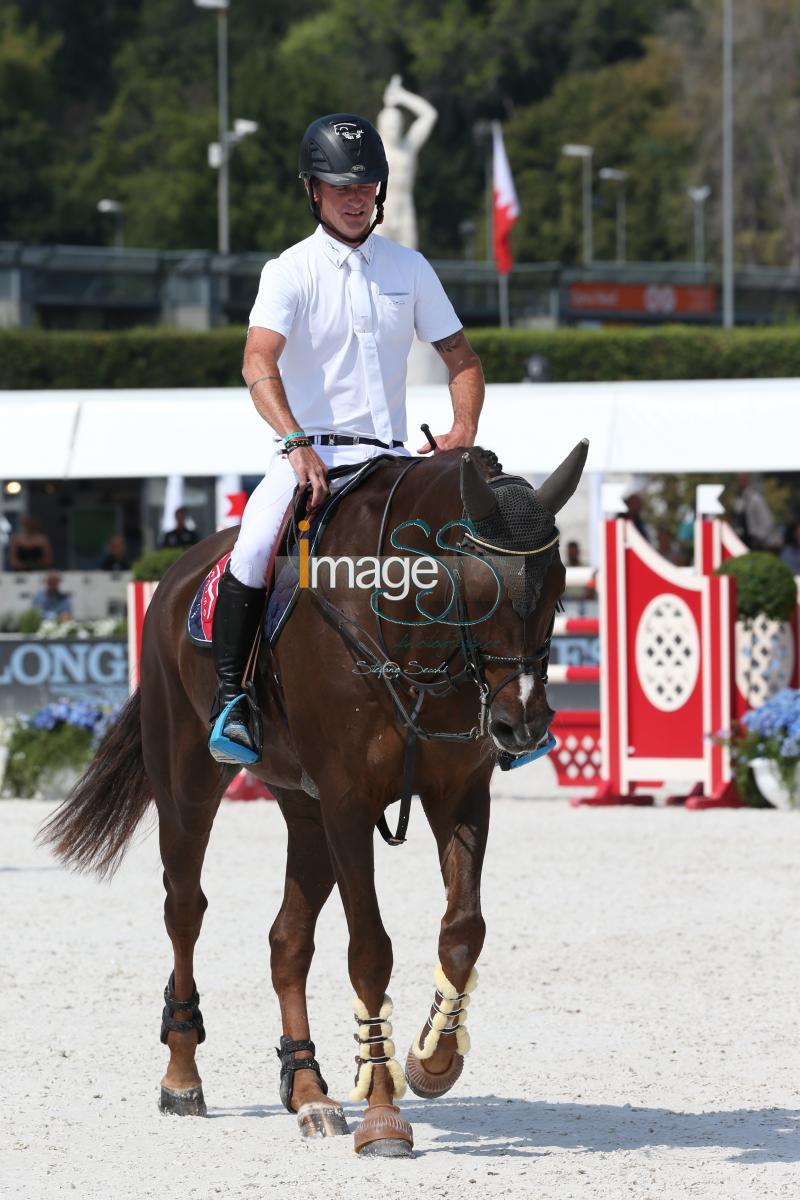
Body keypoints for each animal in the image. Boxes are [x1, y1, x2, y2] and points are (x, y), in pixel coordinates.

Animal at [45, 441, 587, 1152]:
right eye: (474, 588)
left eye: (557, 585)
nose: (521, 724)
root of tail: (178, 574)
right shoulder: (348, 803)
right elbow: (370, 952)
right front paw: (383, 1116)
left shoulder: (459, 793)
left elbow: (463, 929)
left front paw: (433, 1057)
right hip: (190, 787)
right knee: (185, 910)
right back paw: (182, 1078)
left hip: (304, 811)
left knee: (287, 940)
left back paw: (307, 1090)